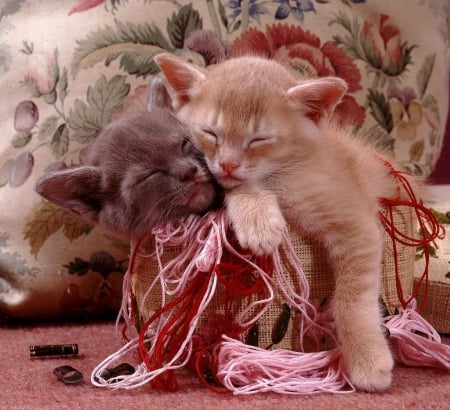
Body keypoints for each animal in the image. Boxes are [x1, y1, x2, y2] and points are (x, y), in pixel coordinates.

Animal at [155, 52, 422, 392]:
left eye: (259, 139)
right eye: (211, 133)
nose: (228, 164)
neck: (280, 174)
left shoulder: (356, 221)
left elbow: (351, 298)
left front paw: (367, 358)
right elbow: (234, 186)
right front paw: (258, 219)